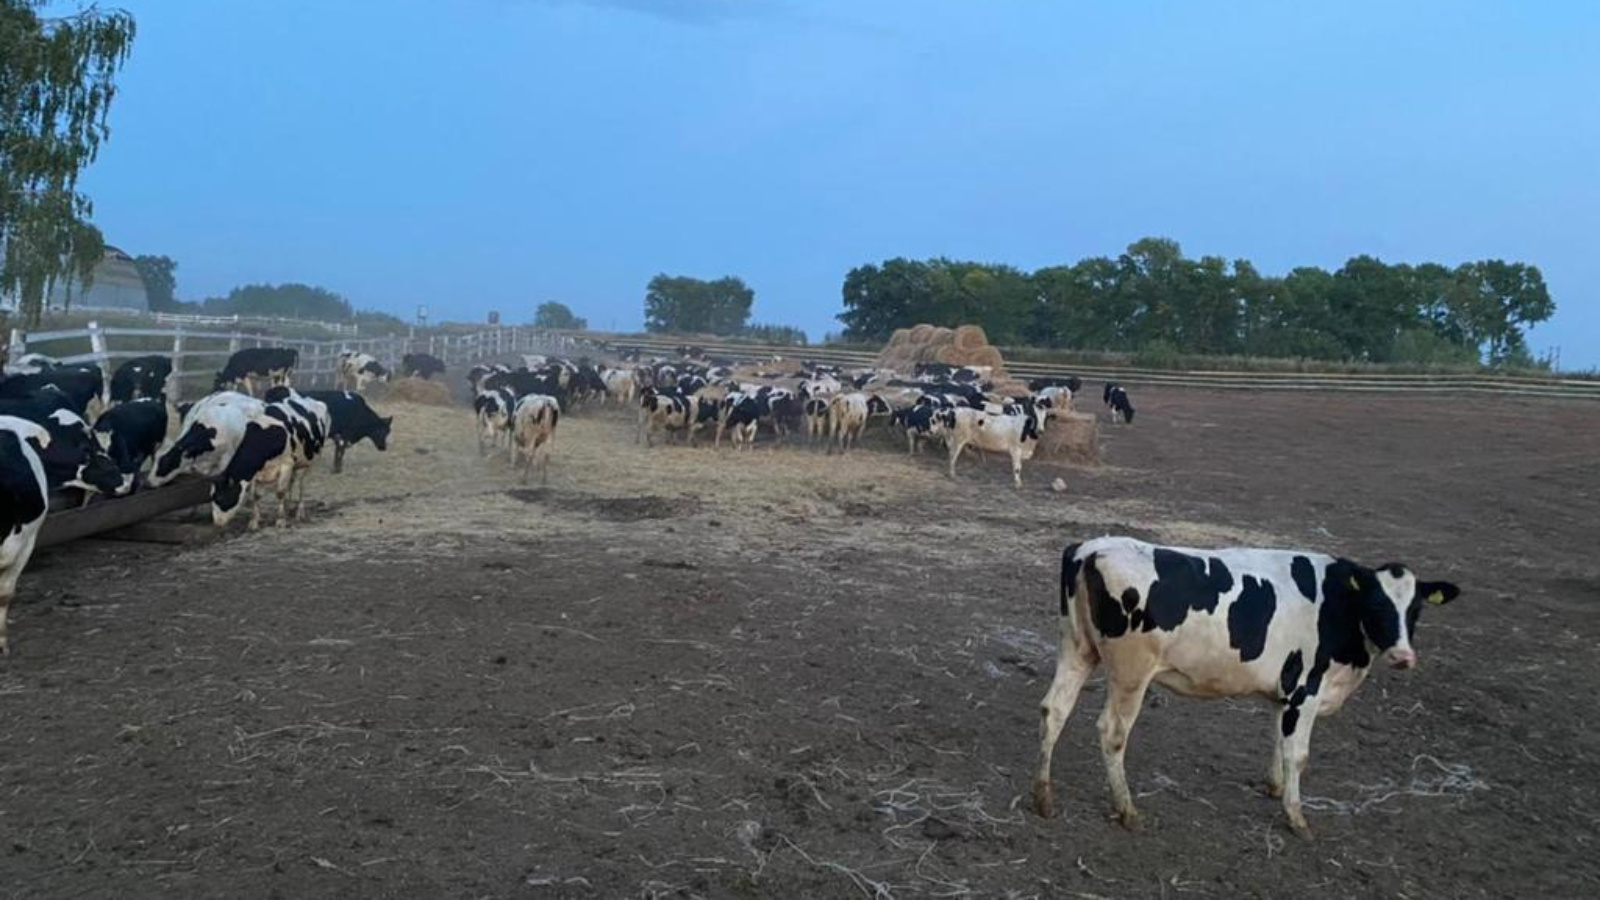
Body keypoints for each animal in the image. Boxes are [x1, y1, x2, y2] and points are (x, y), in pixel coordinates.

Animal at [1033, 537, 1462, 838]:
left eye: (1415, 610)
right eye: (1377, 605)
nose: (1403, 656)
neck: (1337, 607)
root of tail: (1091, 549)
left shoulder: (1284, 693)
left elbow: (1277, 740)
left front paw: (1274, 787)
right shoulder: (1306, 691)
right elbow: (1298, 755)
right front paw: (1296, 816)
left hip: (1076, 648)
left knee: (1054, 710)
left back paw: (1043, 797)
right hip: (1130, 672)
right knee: (1112, 732)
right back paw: (1126, 810)